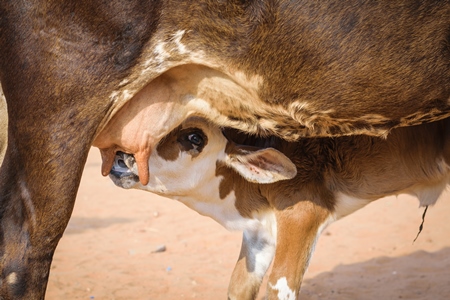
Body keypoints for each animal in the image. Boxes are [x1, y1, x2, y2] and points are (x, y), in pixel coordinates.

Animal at [109, 116, 450, 300]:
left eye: (193, 136)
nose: (121, 157)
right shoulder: (259, 232)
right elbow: (239, 286)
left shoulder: (302, 214)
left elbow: (279, 286)